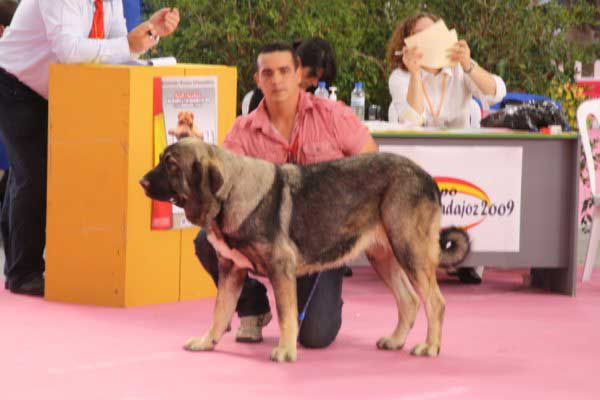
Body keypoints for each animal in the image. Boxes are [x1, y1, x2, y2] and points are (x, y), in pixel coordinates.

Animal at [141, 138, 468, 362]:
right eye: (161, 159)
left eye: (171, 165)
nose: (142, 181)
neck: (230, 193)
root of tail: (428, 178)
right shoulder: (231, 270)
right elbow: (220, 311)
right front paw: (207, 341)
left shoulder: (280, 269)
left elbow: (287, 314)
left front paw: (286, 351)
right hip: (384, 256)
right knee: (409, 300)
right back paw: (395, 340)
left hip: (408, 249)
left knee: (435, 302)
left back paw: (430, 346)